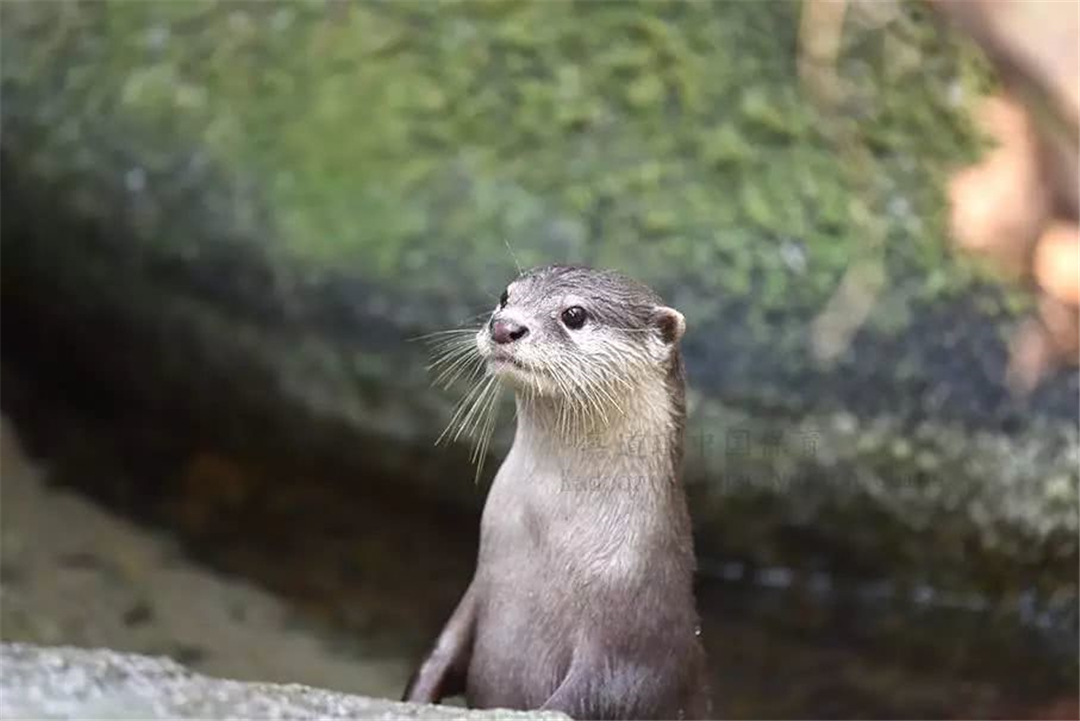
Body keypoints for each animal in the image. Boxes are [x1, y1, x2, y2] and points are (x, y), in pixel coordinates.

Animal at [406, 267, 708, 716]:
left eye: (574, 314)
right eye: (505, 296)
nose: (504, 326)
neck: (547, 533)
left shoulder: (628, 651)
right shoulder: (478, 590)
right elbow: (438, 655)